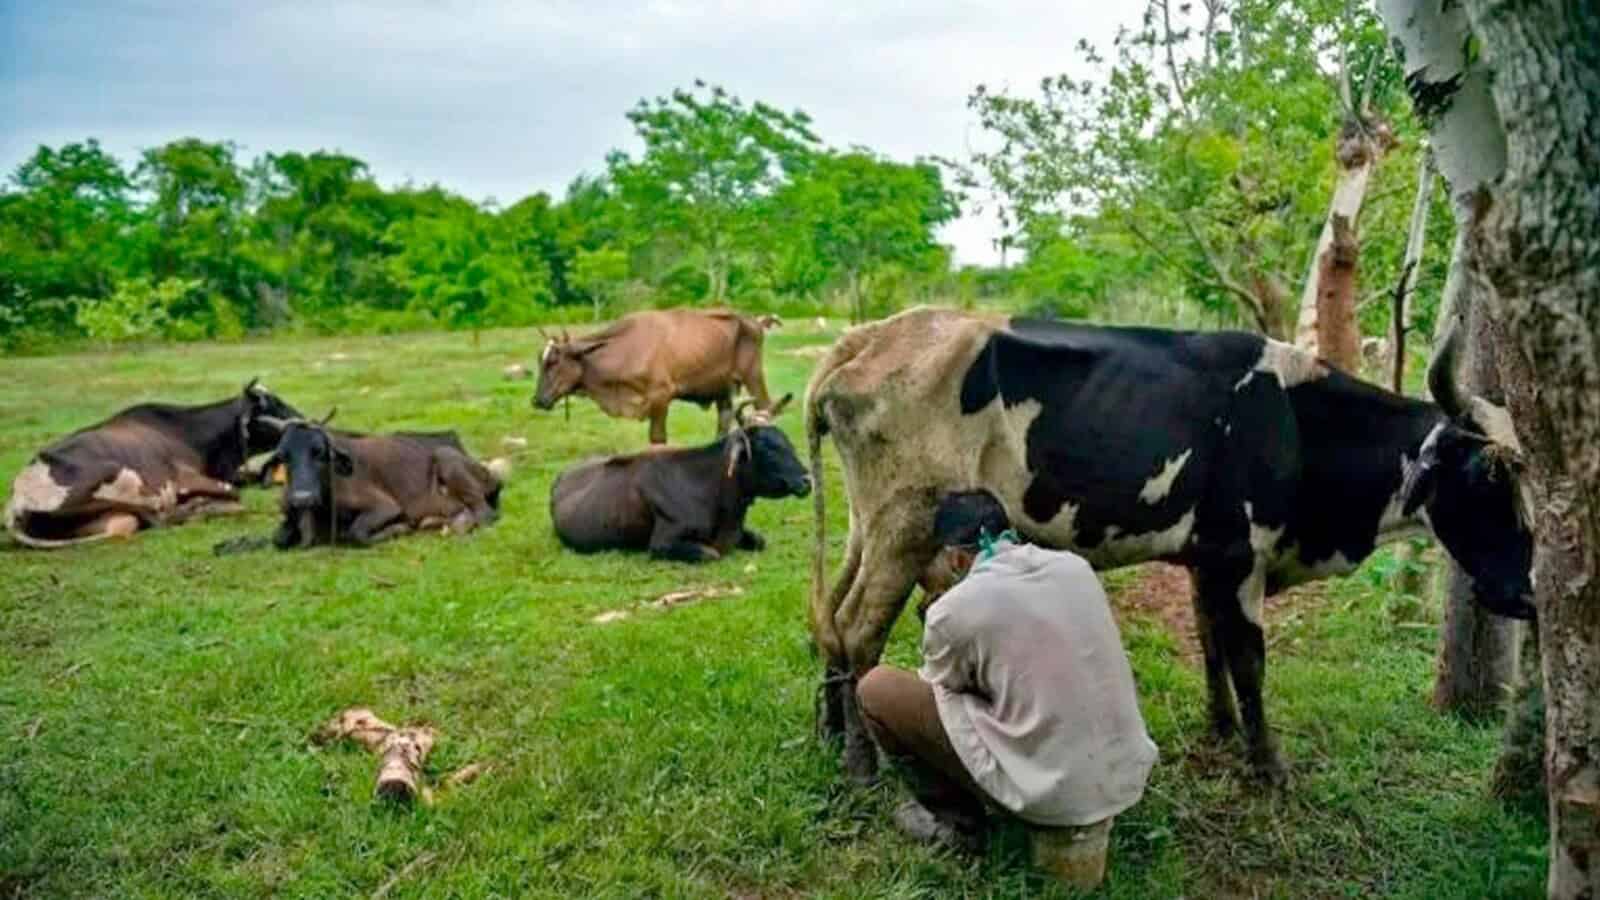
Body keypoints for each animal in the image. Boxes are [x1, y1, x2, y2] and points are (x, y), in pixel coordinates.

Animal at [5, 377, 300, 547]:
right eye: (274, 404)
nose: (303, 419)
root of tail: (17, 500)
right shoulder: (184, 478)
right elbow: (234, 492)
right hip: (121, 476)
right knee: (161, 515)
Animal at [219, 409, 505, 550]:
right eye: (283, 456)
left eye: (320, 452)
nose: (302, 498)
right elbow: (278, 539)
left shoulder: (385, 506)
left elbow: (357, 532)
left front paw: (399, 529)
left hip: (447, 458)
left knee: (485, 513)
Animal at [537, 307, 780, 441]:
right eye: (540, 360)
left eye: (553, 361)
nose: (537, 400)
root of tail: (754, 321)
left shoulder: (661, 396)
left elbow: (657, 438)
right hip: (723, 388)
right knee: (724, 422)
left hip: (753, 375)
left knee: (765, 409)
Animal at [556, 393, 819, 557]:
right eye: (766, 447)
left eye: (788, 442)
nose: (807, 480)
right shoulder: (662, 543)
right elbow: (711, 553)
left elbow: (760, 541)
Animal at [812, 304, 1536, 781]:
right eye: (1487, 475)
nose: (1529, 595)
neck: (1300, 425)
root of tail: (868, 335)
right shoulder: (1240, 556)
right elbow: (1249, 659)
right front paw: (1266, 765)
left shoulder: (1205, 558)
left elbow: (1210, 643)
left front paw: (1221, 727)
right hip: (904, 527)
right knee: (859, 632)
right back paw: (861, 763)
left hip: (868, 527)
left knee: (828, 620)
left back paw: (832, 732)